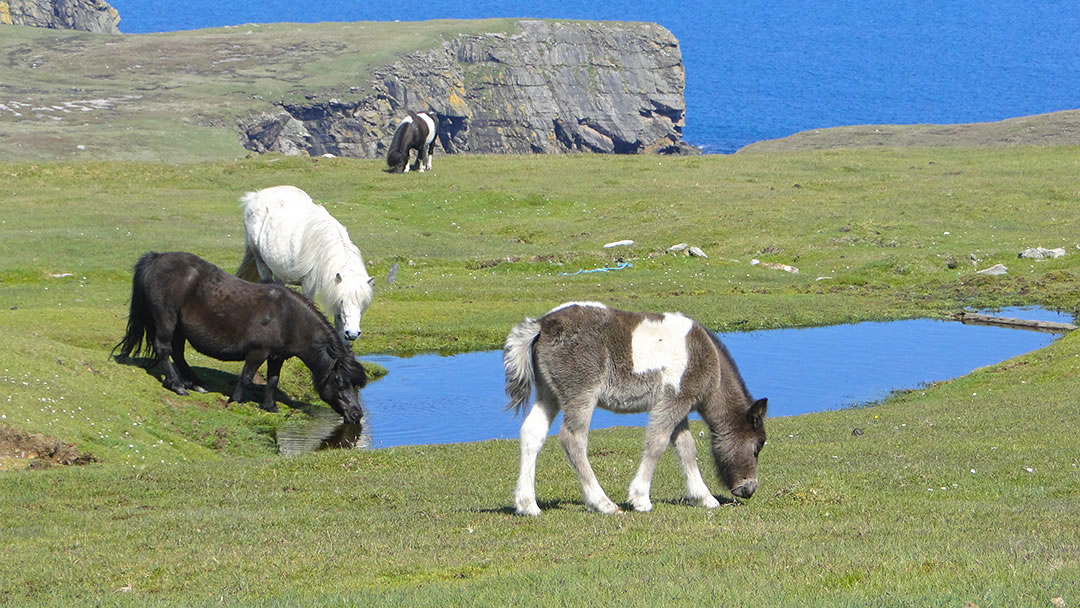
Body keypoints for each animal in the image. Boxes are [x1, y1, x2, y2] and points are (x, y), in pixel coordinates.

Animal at [113, 250, 367, 423]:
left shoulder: (277, 356)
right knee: (164, 349)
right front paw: (234, 401)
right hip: (167, 319)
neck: (289, 317)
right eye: (339, 381)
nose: (356, 414)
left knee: (178, 352)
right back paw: (177, 385)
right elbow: (246, 377)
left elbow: (272, 380)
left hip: (179, 328)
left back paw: (195, 383)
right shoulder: (258, 352)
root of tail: (157, 258)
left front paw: (270, 406)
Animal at [234, 184, 373, 343]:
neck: (322, 248)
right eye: (342, 301)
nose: (353, 334)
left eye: (363, 303)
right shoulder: (309, 285)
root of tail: (254, 197)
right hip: (260, 261)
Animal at [503, 302, 768, 516]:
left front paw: (704, 498)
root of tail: (543, 324)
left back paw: (527, 505)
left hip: (549, 394)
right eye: (757, 448)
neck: (708, 358)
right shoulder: (675, 400)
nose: (749, 489)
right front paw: (640, 499)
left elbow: (685, 447)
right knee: (573, 438)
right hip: (581, 394)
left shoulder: (677, 406)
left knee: (532, 433)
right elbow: (657, 443)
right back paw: (602, 503)